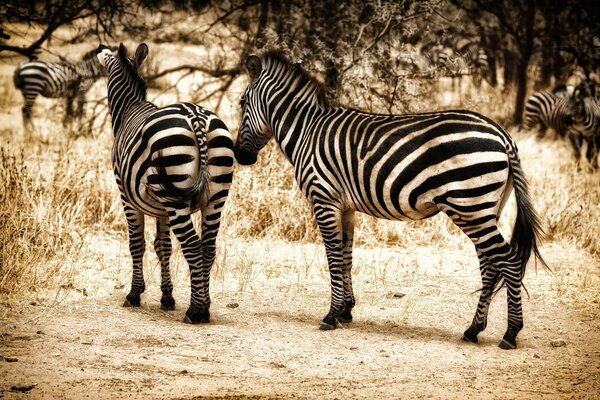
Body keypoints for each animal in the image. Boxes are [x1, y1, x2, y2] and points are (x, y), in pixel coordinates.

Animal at [96, 43, 234, 324]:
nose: (100, 47)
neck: (129, 109)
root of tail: (196, 118)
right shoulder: (161, 209)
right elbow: (163, 247)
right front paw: (167, 297)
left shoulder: (126, 196)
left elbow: (136, 244)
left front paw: (134, 294)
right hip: (215, 194)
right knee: (208, 247)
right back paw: (205, 305)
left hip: (175, 195)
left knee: (192, 245)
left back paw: (196, 310)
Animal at [234, 50, 548, 350]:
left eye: (241, 103)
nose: (240, 156)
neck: (307, 131)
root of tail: (503, 136)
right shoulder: (346, 207)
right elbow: (346, 257)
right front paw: (346, 310)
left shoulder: (324, 198)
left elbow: (333, 257)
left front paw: (331, 315)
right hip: (484, 209)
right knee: (490, 266)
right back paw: (473, 330)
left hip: (470, 206)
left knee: (508, 261)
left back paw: (510, 333)